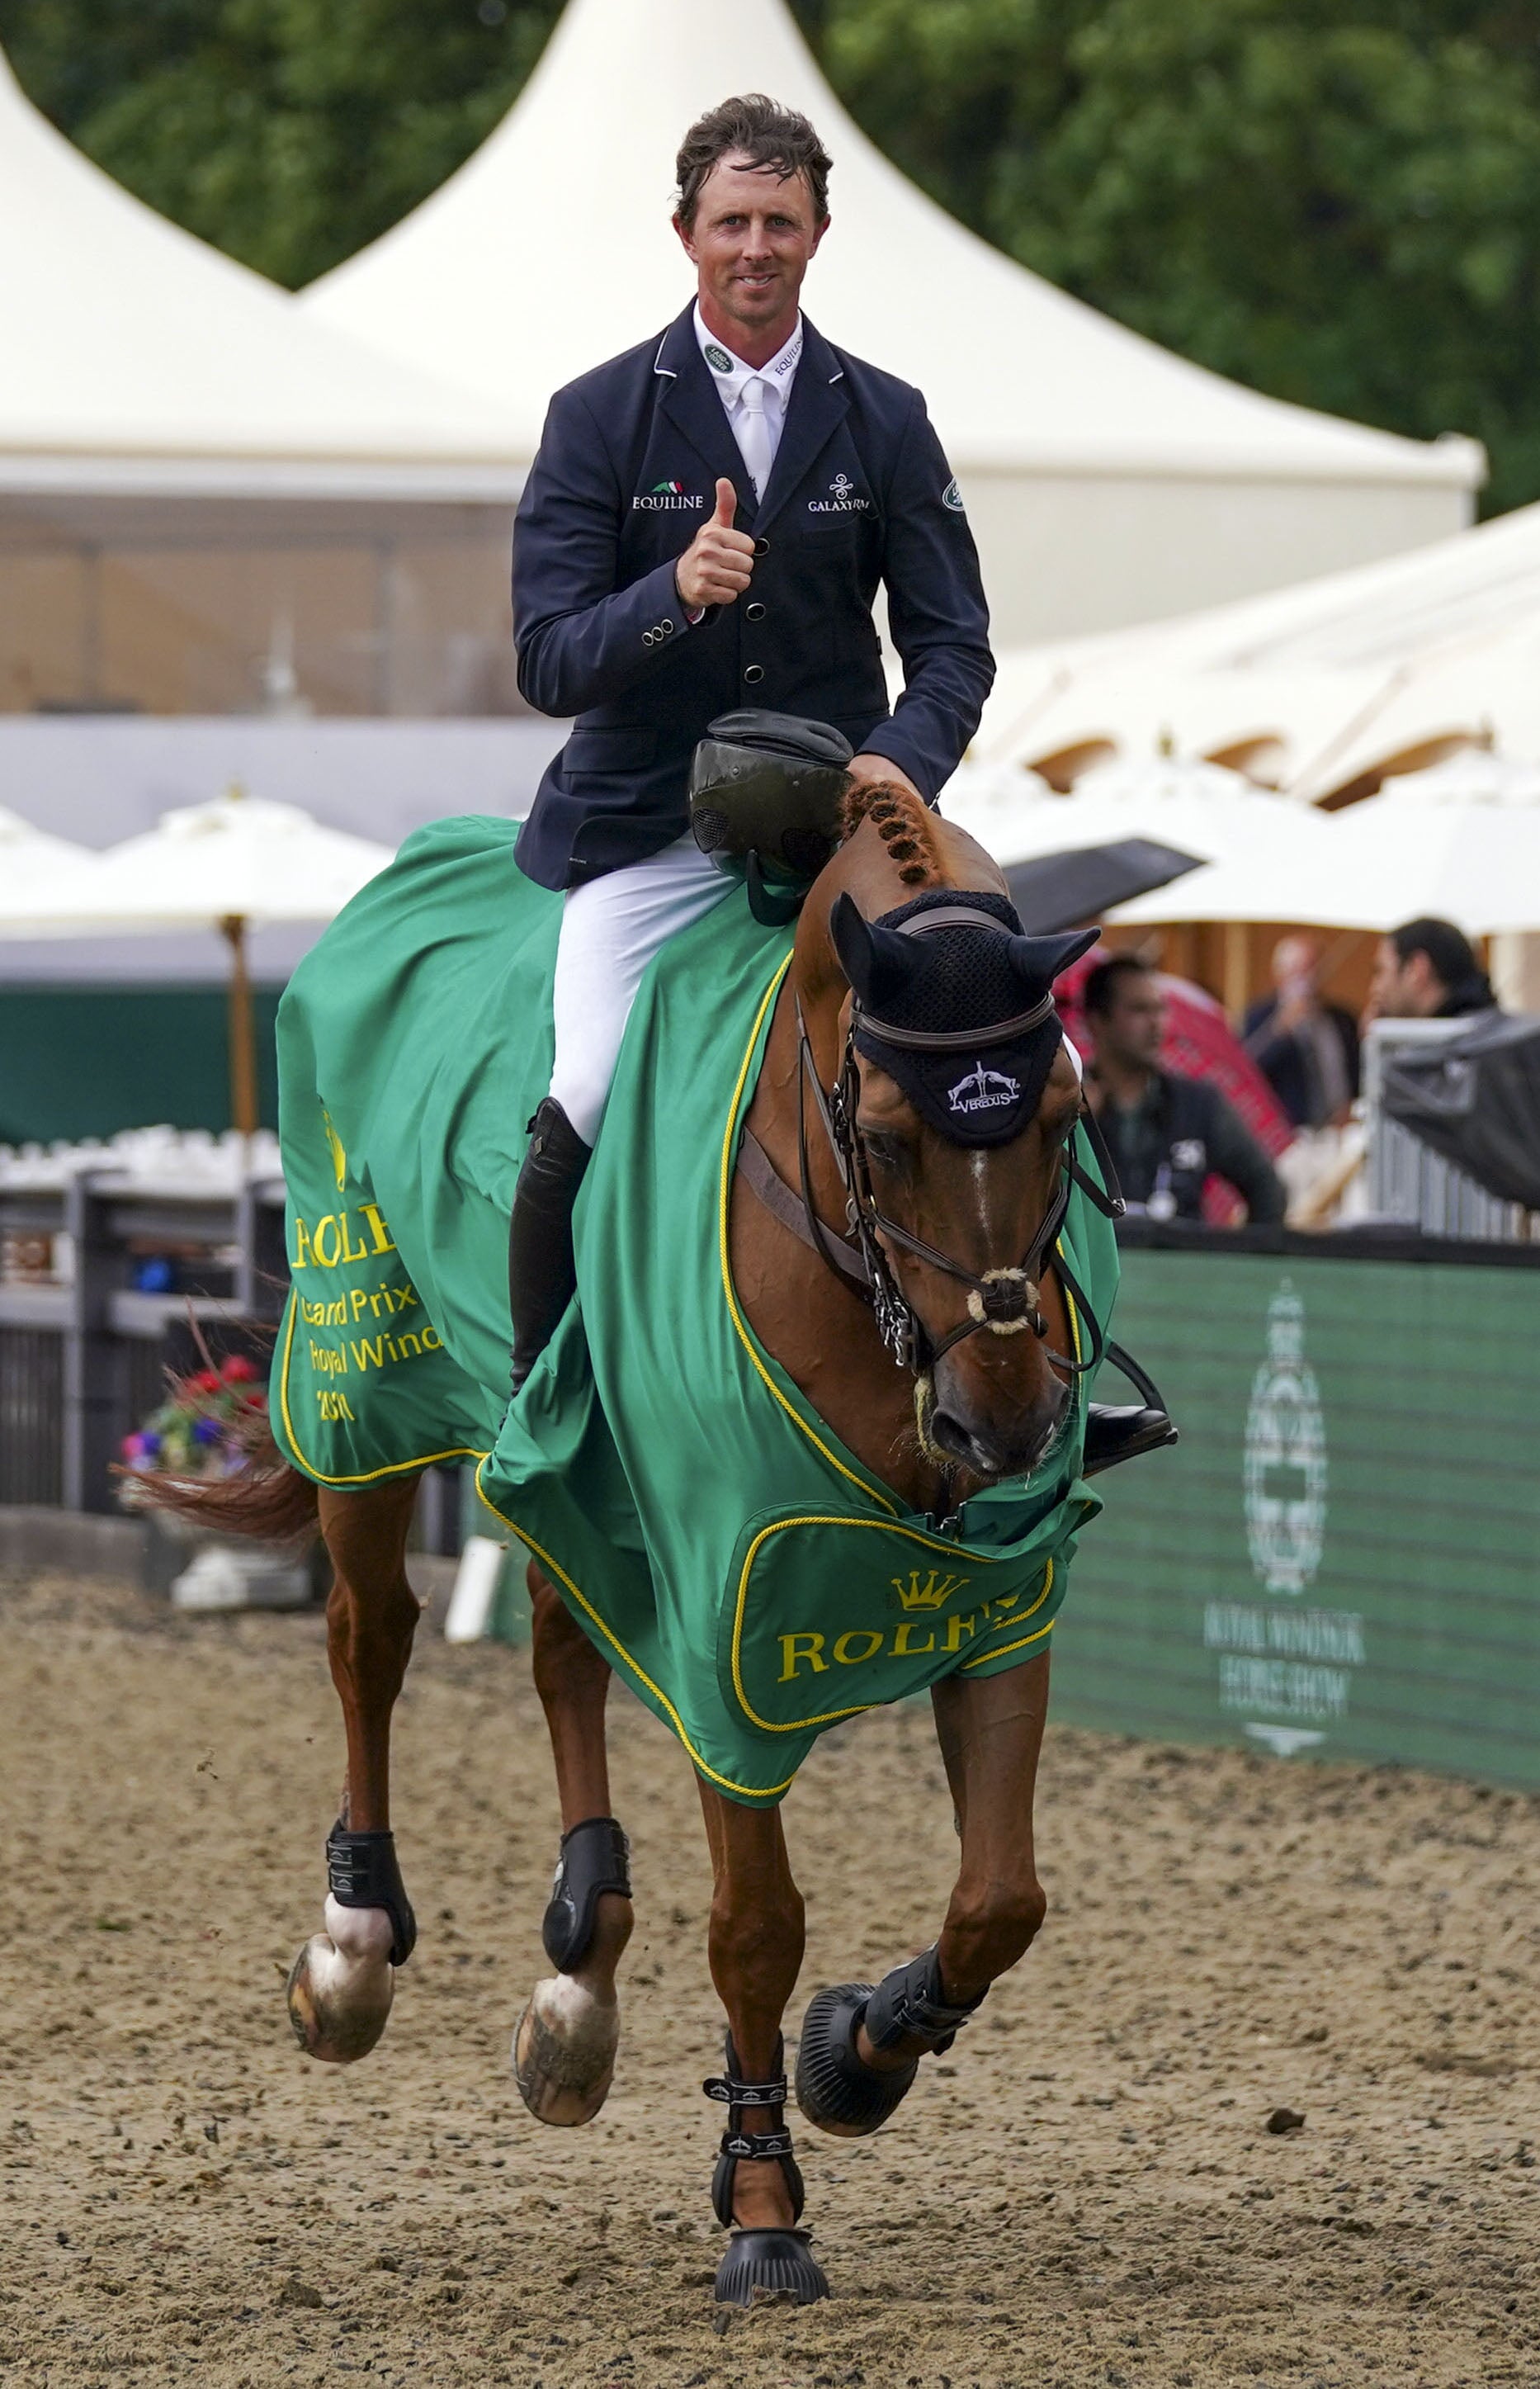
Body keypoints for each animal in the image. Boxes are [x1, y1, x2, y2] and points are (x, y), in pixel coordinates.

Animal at [147, 788, 1117, 2312]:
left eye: (1066, 1118)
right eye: (888, 1135)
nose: (1005, 1419)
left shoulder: (997, 1598)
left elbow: (998, 1899)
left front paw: (861, 2050)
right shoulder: (734, 1622)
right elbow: (757, 1923)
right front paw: (763, 2200)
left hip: (567, 1484)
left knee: (562, 1646)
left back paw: (579, 1973)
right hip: (360, 1378)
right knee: (369, 1638)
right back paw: (354, 1946)